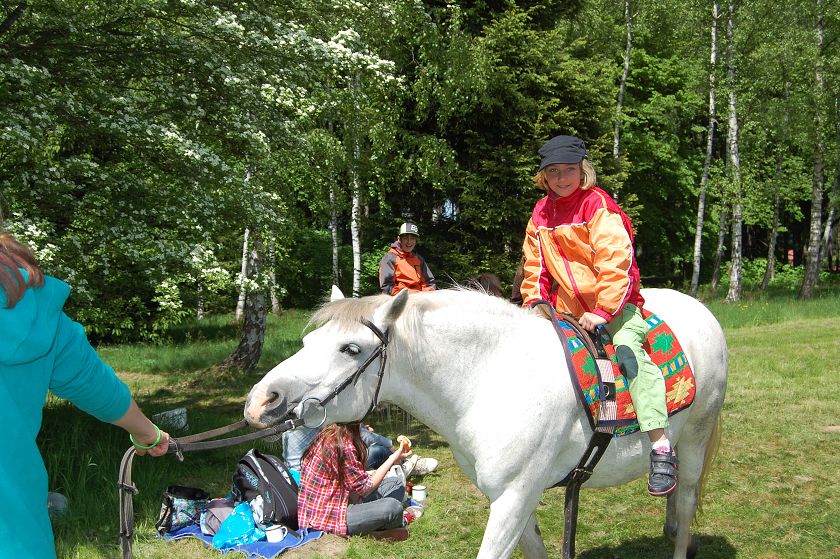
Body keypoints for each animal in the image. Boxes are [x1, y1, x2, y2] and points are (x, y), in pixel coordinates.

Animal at [244, 287, 727, 559]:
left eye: (350, 349)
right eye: (308, 340)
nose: (260, 400)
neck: (492, 379)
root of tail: (702, 311)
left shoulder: (513, 498)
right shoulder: (514, 499)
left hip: (697, 438)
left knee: (686, 500)